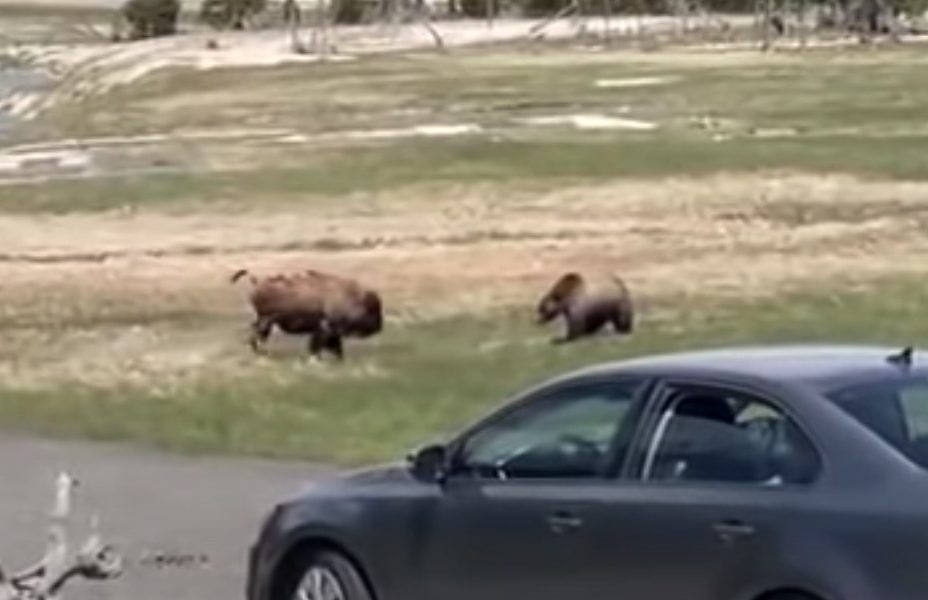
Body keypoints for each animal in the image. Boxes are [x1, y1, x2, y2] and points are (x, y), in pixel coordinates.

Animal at [231, 268, 383, 360]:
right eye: (371, 310)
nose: (379, 327)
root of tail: (257, 281)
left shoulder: (331, 333)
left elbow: (335, 349)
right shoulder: (325, 330)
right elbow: (318, 347)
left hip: (265, 321)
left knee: (257, 333)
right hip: (266, 320)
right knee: (258, 335)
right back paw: (263, 353)